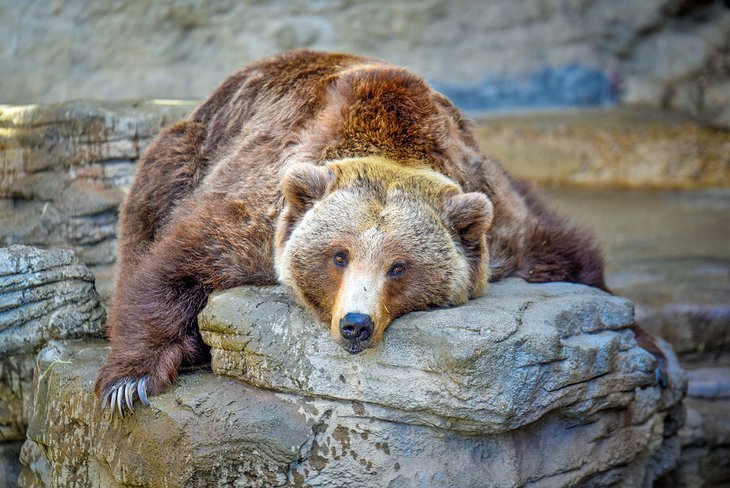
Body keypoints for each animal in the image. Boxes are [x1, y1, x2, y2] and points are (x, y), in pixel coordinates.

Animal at [94, 49, 664, 416]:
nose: (355, 324)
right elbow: (181, 260)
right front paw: (129, 381)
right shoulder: (259, 212)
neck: (390, 138)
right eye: (338, 255)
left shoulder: (498, 220)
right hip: (187, 149)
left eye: (399, 266)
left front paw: (649, 354)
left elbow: (569, 258)